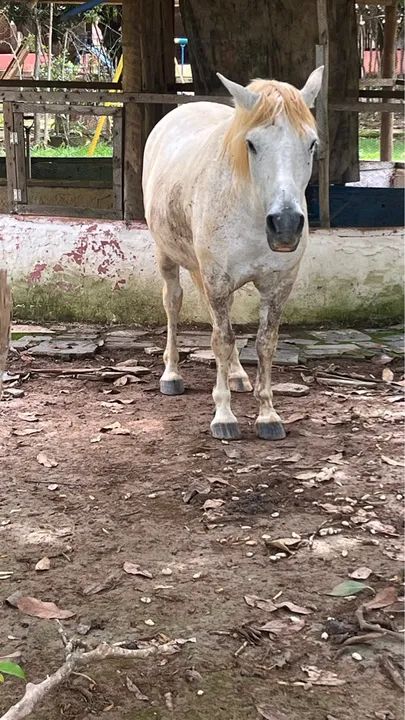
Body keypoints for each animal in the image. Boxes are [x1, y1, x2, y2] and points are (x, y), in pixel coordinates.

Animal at [142, 67, 323, 441]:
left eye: (311, 143)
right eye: (251, 144)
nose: (285, 224)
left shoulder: (277, 286)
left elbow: (264, 342)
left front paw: (268, 415)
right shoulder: (219, 281)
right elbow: (222, 341)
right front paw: (223, 416)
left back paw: (238, 375)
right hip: (167, 255)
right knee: (173, 302)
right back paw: (171, 374)